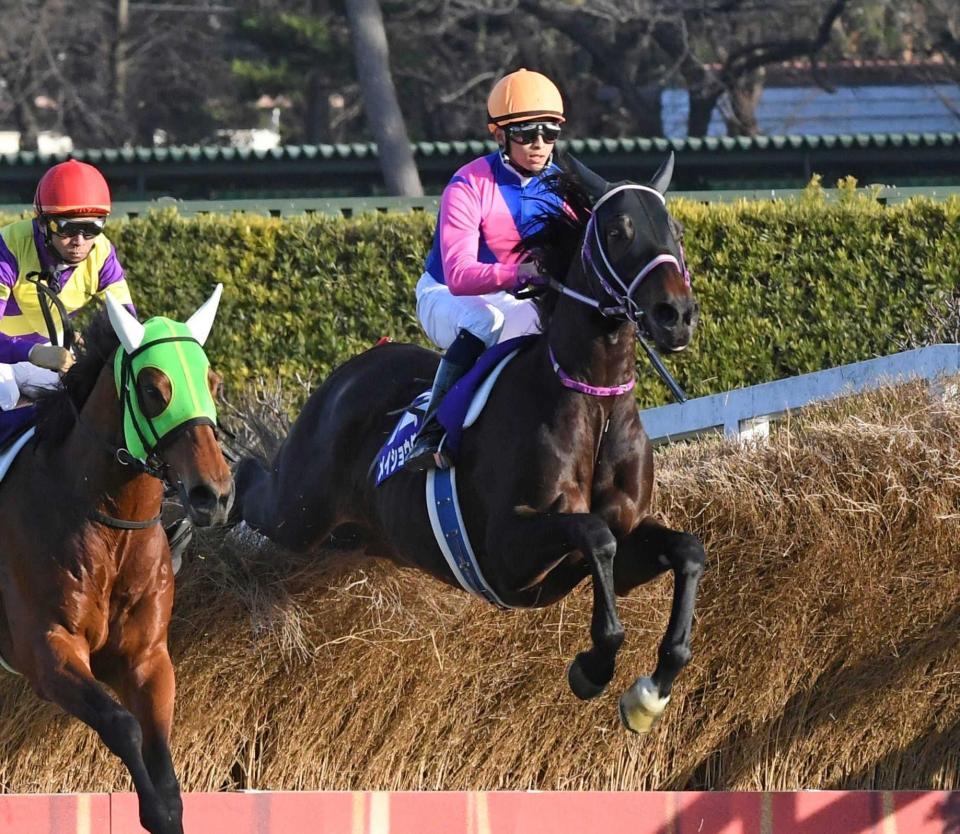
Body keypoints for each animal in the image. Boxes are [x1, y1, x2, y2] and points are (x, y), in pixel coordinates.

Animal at [0, 288, 234, 832]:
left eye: (212, 382)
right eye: (152, 388)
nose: (213, 495)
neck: (109, 532)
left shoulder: (147, 657)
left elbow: (164, 769)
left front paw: (164, 809)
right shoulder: (48, 650)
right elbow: (122, 726)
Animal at [233, 154, 704, 728]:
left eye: (675, 230)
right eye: (617, 231)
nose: (675, 315)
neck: (594, 403)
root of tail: (349, 371)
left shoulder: (627, 538)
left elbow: (686, 549)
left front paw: (651, 692)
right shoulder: (507, 556)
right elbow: (595, 536)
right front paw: (593, 666)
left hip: (354, 533)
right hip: (298, 510)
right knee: (252, 483)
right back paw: (203, 496)